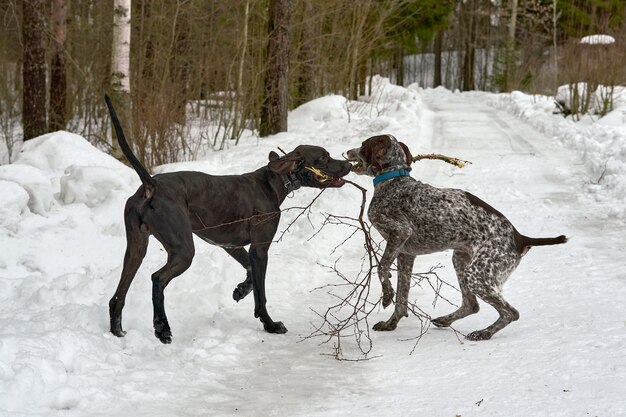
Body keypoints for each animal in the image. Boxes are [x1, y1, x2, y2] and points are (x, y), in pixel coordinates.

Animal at [346, 135, 564, 340]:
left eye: (364, 145)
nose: (347, 151)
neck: (394, 179)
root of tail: (520, 238)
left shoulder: (400, 232)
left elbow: (382, 268)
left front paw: (386, 295)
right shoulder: (405, 254)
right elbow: (401, 299)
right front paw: (391, 323)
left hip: (477, 275)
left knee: (511, 313)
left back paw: (483, 333)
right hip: (461, 261)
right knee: (471, 305)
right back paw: (446, 320)